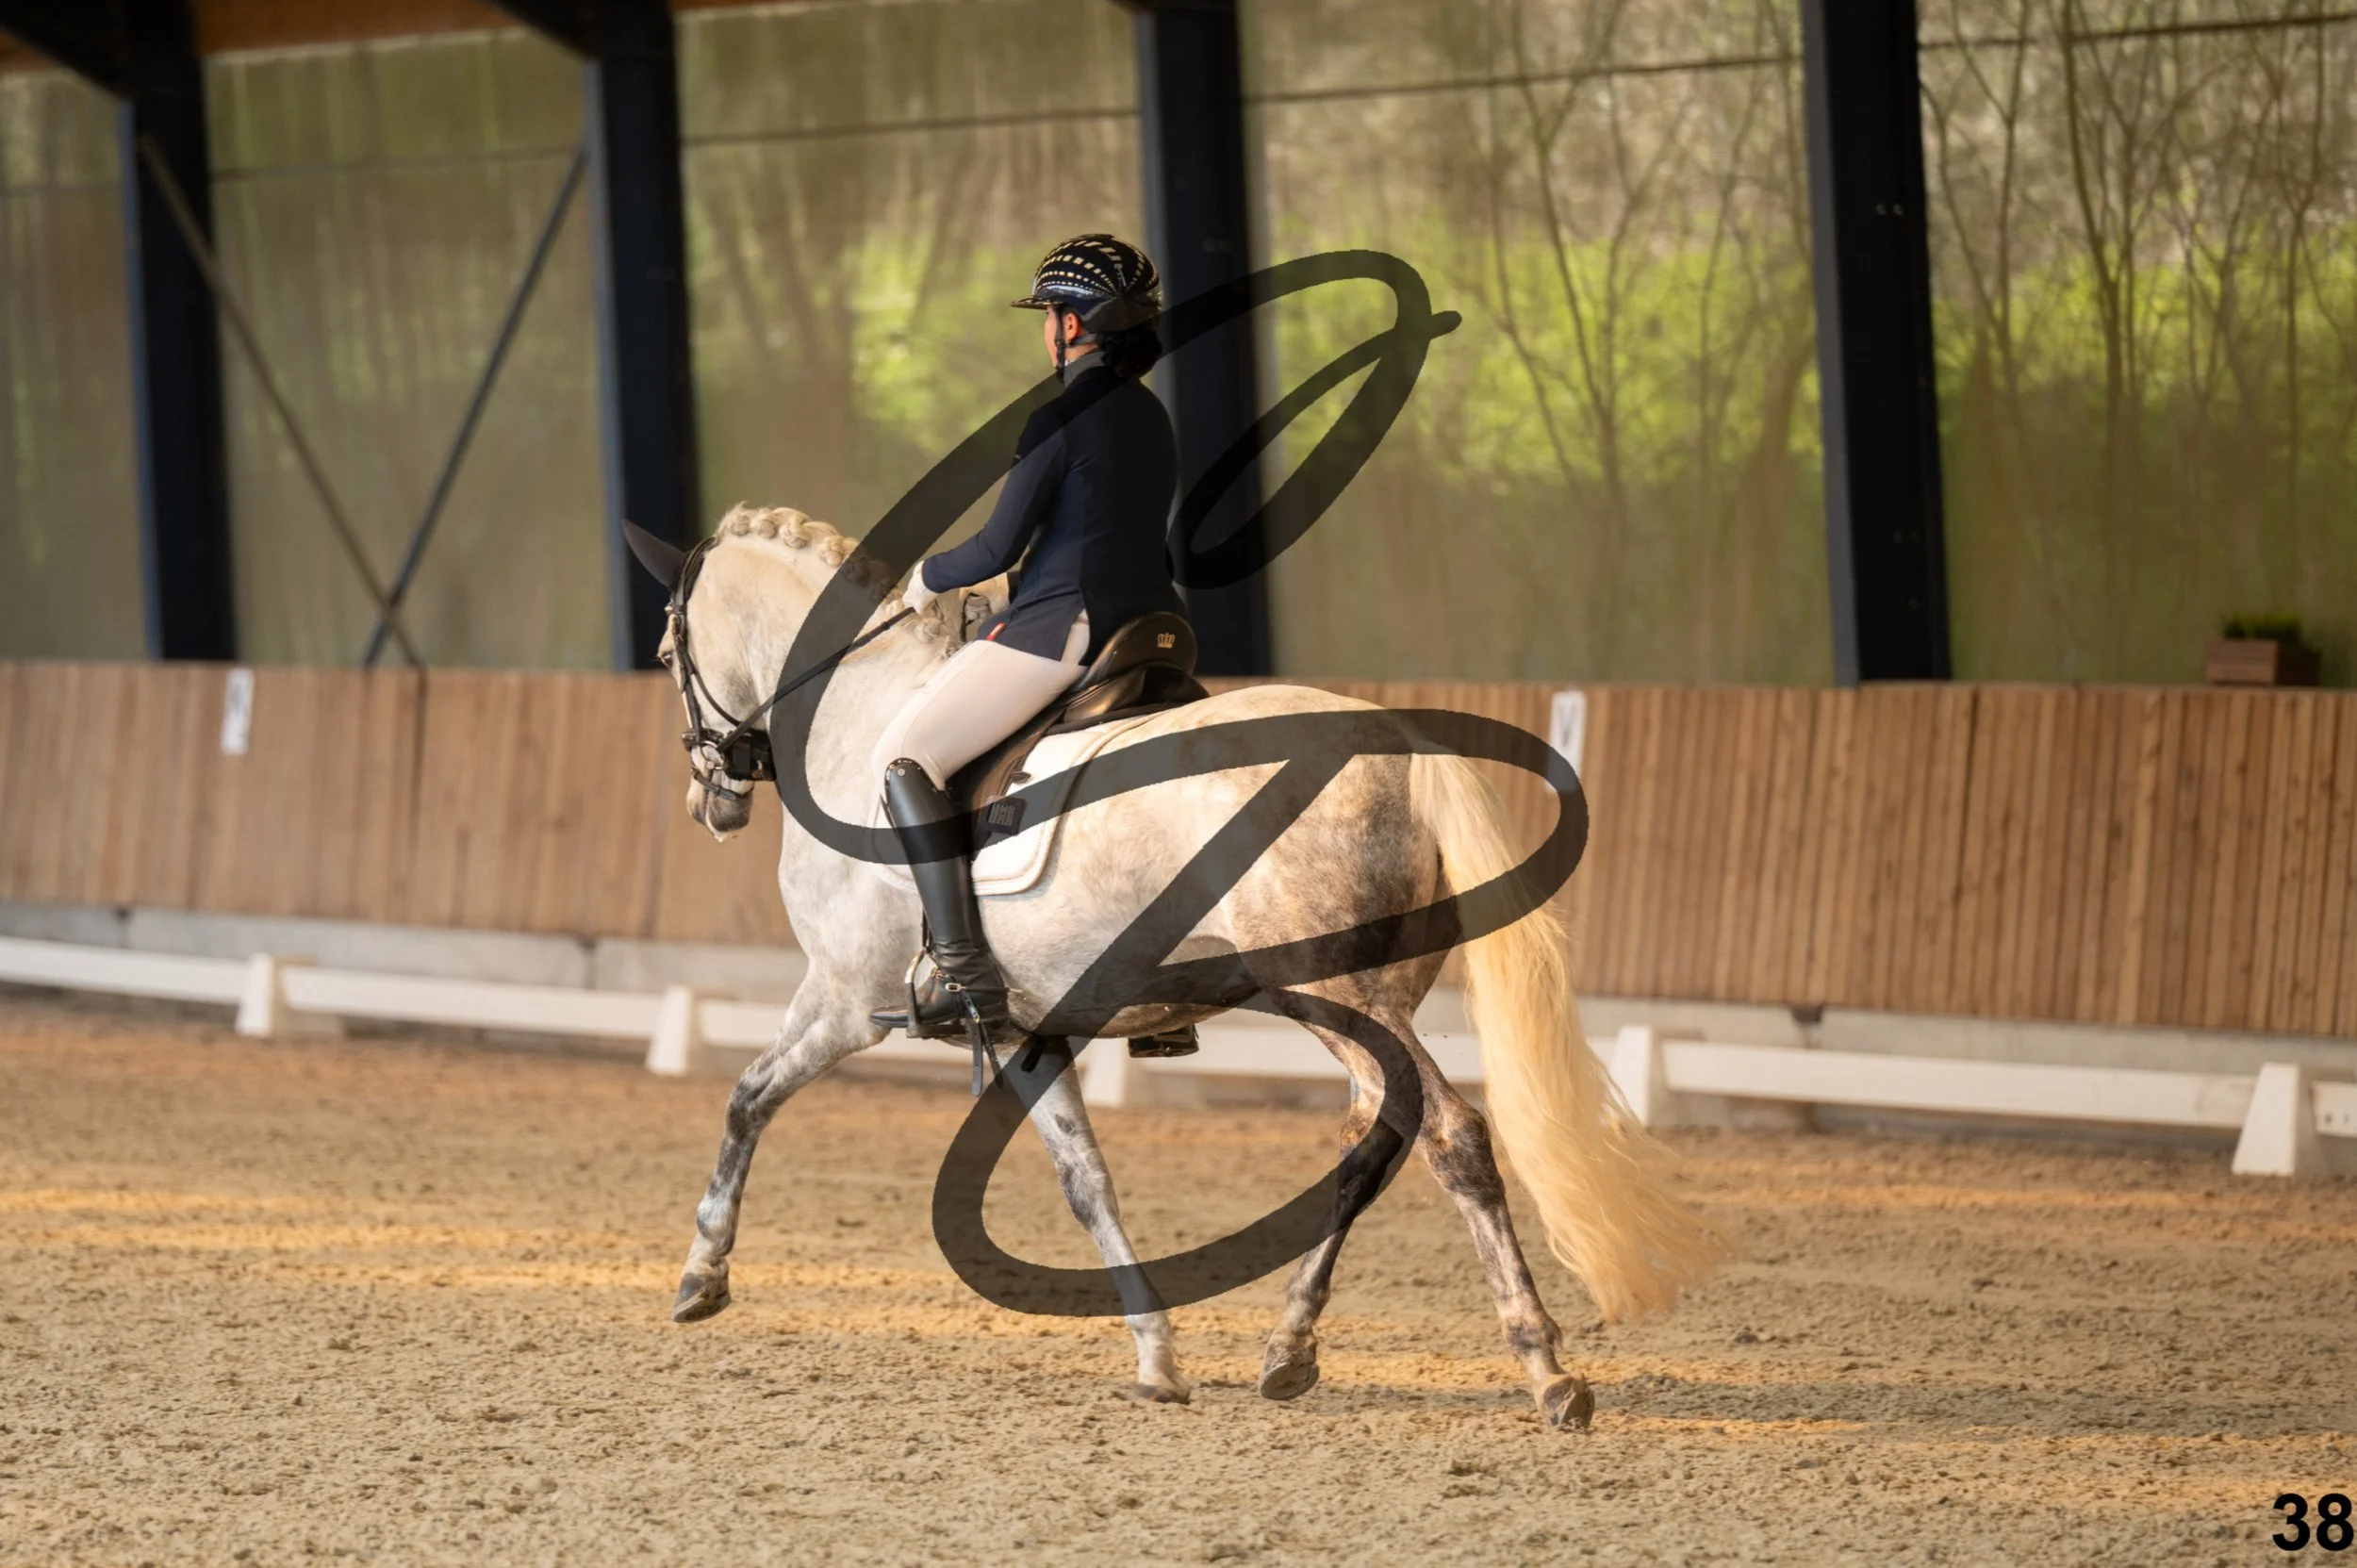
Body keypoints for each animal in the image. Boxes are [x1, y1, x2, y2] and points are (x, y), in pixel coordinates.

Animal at [646, 503, 1717, 1429]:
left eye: (665, 656)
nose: (709, 800)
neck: (859, 717)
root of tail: (1394, 745)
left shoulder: (843, 1000)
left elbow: (746, 1096)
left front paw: (703, 1271)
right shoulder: (1028, 1027)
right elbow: (1087, 1180)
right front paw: (1156, 1352)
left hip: (1330, 992)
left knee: (1449, 1134)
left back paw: (1547, 1369)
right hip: (1362, 1000)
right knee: (1373, 1137)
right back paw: (1289, 1348)